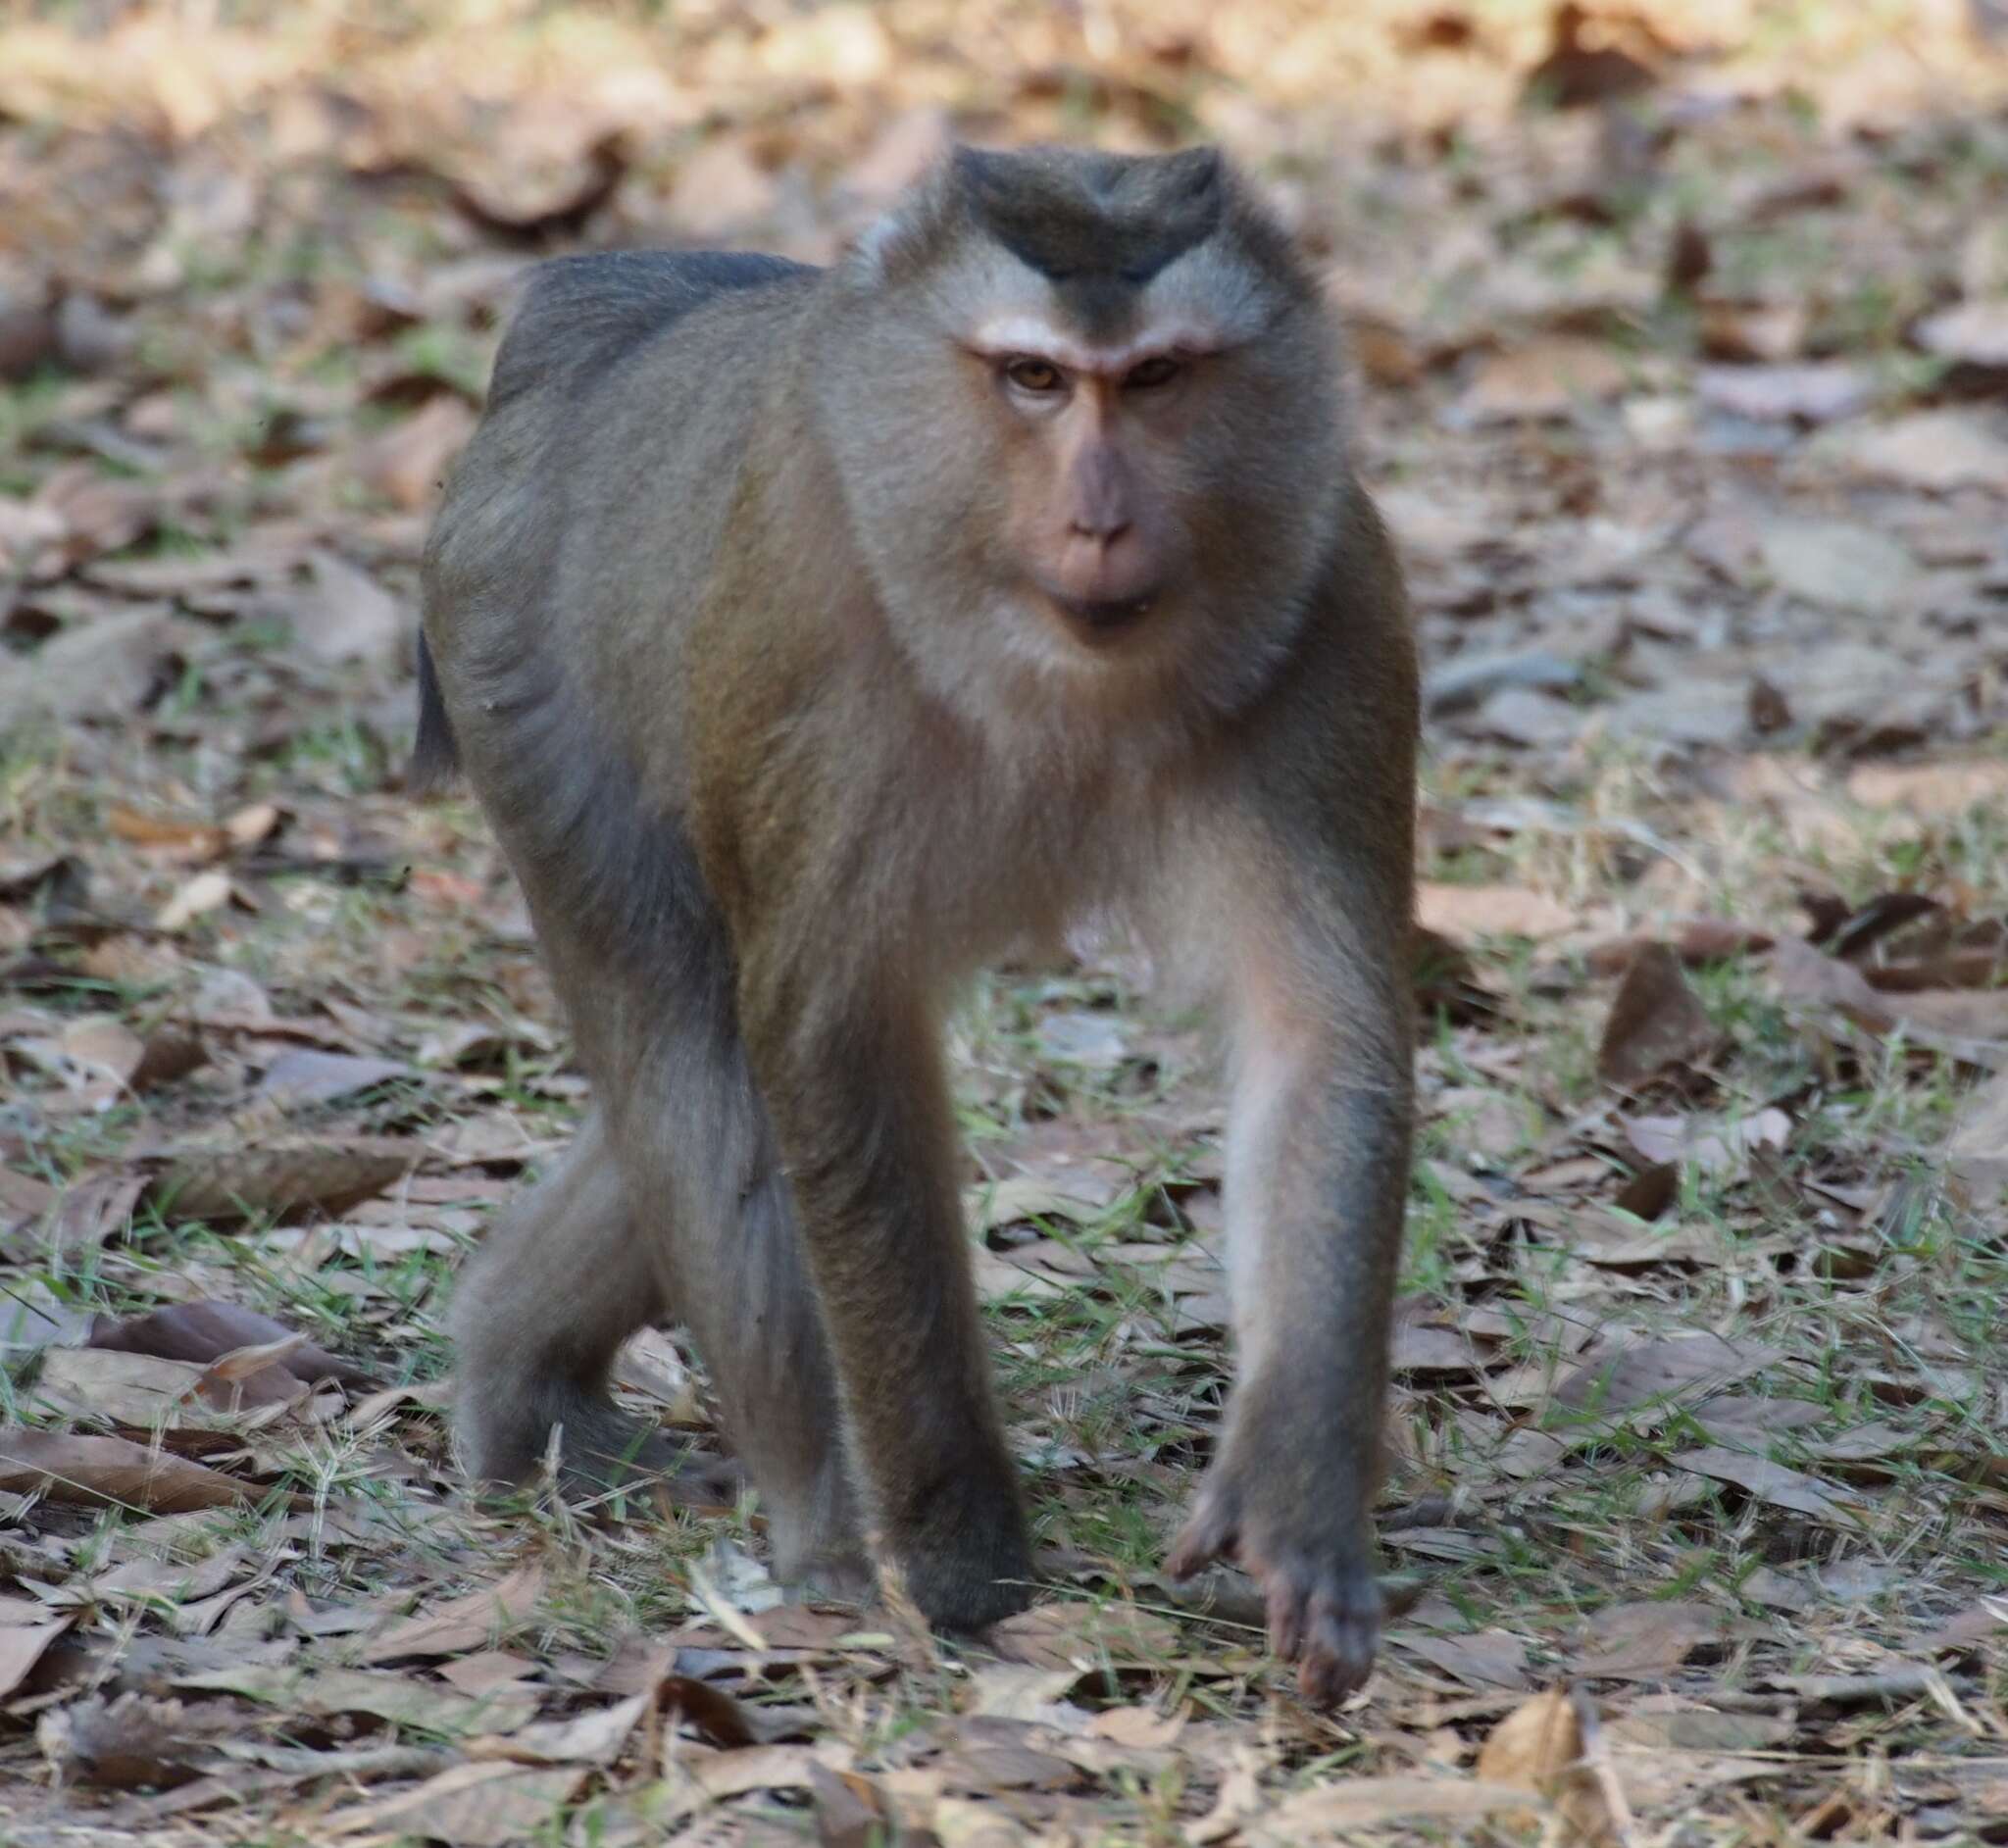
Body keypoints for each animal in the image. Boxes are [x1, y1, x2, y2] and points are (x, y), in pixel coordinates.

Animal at [411, 144, 1413, 1703]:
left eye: (1160, 378)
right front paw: (955, 1562)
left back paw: (525, 1385)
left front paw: (1296, 1498)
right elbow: (831, 1042)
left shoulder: (1331, 611)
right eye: (1034, 379)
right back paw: (821, 1531)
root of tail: (613, 312)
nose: (1103, 516)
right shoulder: (804, 633)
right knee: (693, 1054)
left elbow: (1316, 1041)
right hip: (512, 655)